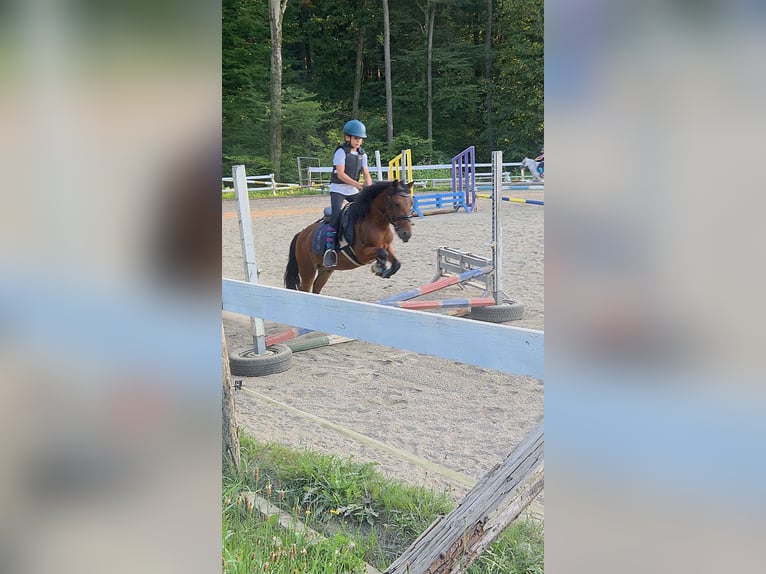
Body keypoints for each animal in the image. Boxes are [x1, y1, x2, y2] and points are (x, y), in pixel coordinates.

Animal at [284, 180, 414, 294]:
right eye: (396, 204)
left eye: (411, 203)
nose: (406, 234)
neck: (376, 224)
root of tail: (301, 234)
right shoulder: (361, 254)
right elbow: (382, 253)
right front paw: (379, 268)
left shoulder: (386, 245)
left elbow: (395, 262)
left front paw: (383, 270)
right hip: (308, 270)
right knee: (305, 289)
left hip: (326, 270)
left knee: (316, 288)